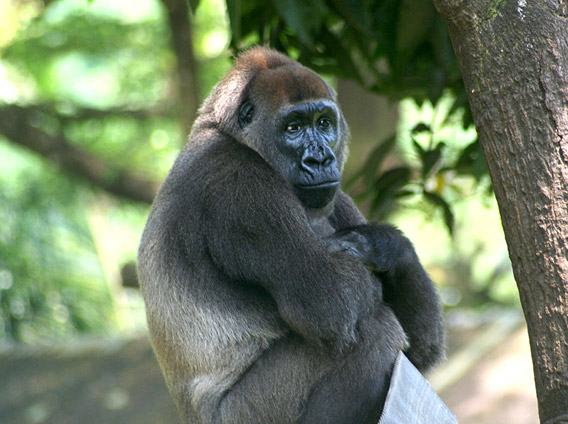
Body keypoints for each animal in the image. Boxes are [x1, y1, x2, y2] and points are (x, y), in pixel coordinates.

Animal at [138, 47, 444, 424]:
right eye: (293, 128)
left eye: (324, 123)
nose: (320, 159)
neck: (228, 133)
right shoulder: (240, 184)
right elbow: (332, 303)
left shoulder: (337, 196)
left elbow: (422, 350)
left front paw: (380, 246)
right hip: (244, 415)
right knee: (374, 330)